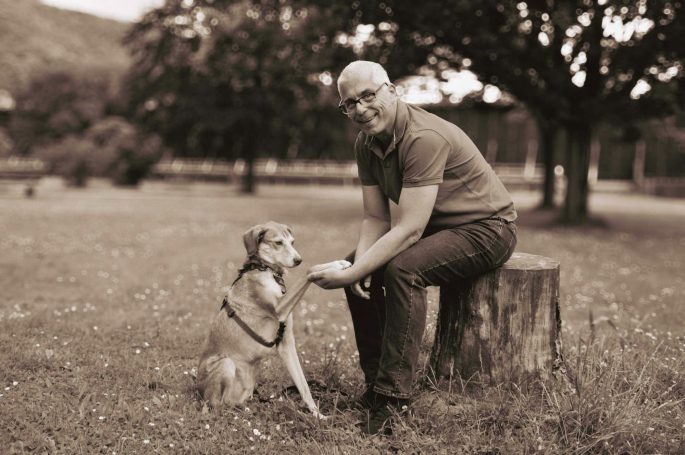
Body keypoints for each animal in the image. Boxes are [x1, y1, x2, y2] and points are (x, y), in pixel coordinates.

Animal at [196, 223, 348, 418]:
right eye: (278, 242)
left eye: (292, 242)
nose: (298, 260)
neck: (265, 269)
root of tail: (199, 392)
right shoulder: (279, 309)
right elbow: (309, 271)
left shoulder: (286, 342)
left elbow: (303, 385)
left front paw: (317, 415)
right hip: (225, 364)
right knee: (215, 406)